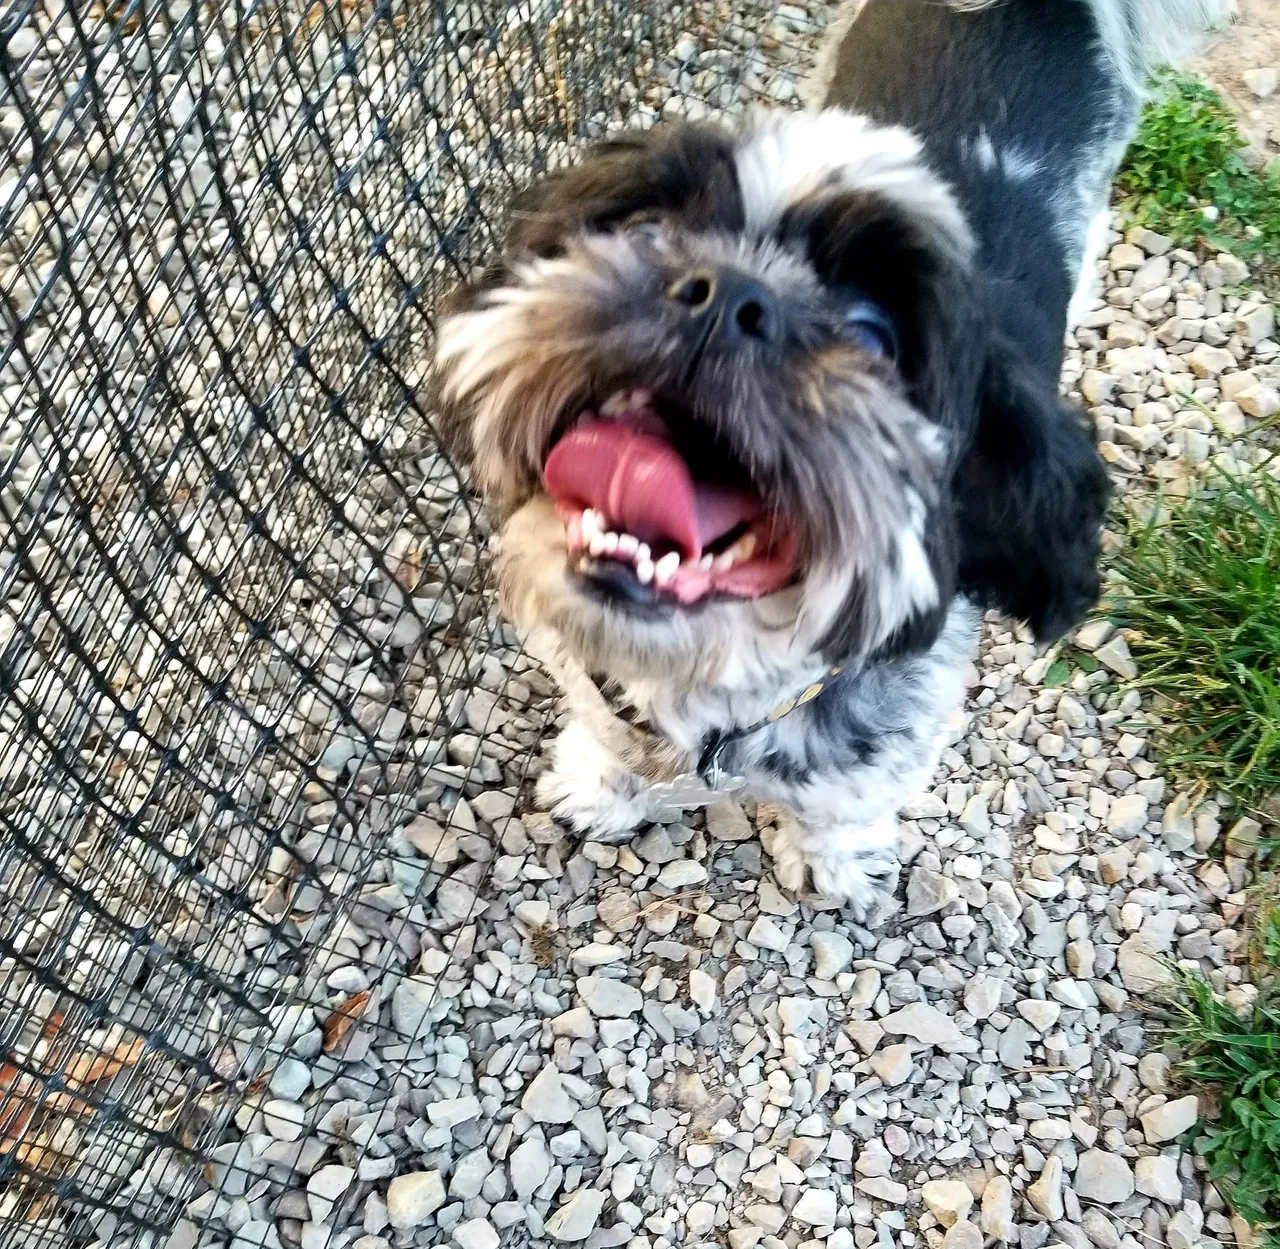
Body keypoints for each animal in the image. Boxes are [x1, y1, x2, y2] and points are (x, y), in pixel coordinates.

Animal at [435, 0, 1223, 916]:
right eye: (644, 228)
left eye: (874, 337)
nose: (728, 294)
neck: (717, 686)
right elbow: (607, 729)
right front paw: (602, 784)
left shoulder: (893, 731)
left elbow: (848, 803)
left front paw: (836, 861)